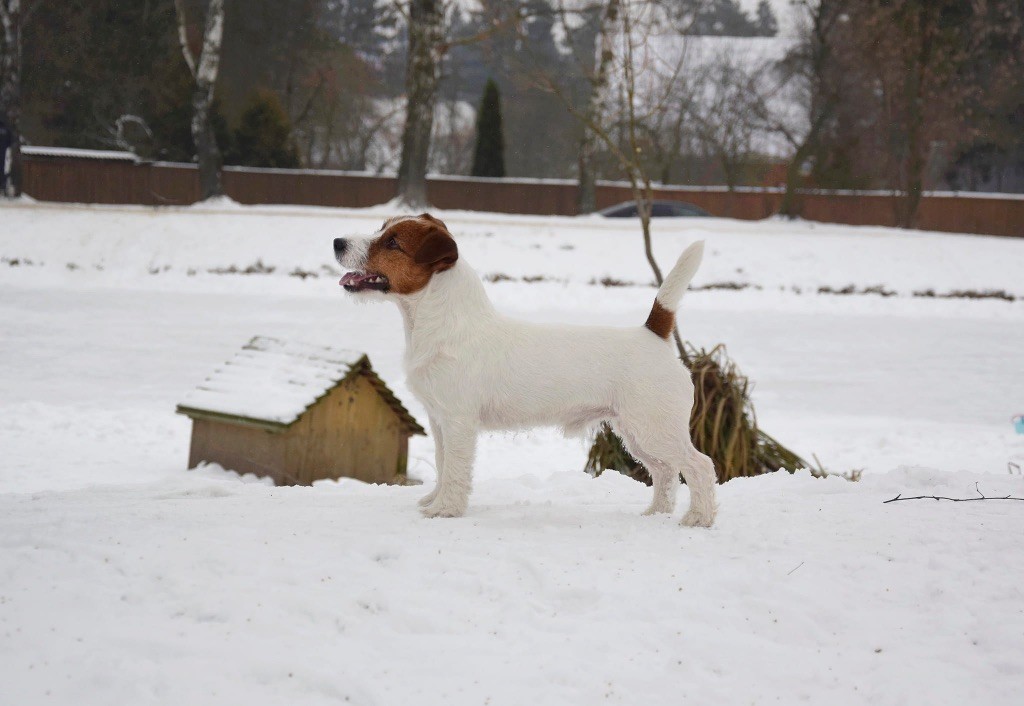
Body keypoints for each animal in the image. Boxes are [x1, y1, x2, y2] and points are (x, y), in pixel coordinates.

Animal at [331, 215, 716, 528]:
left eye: (392, 242)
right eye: (381, 228)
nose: (337, 242)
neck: (443, 324)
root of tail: (653, 333)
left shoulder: (458, 422)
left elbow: (455, 470)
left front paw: (445, 510)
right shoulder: (438, 421)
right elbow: (442, 465)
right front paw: (434, 500)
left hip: (655, 428)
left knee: (699, 465)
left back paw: (699, 518)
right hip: (637, 433)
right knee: (665, 471)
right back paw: (656, 514)